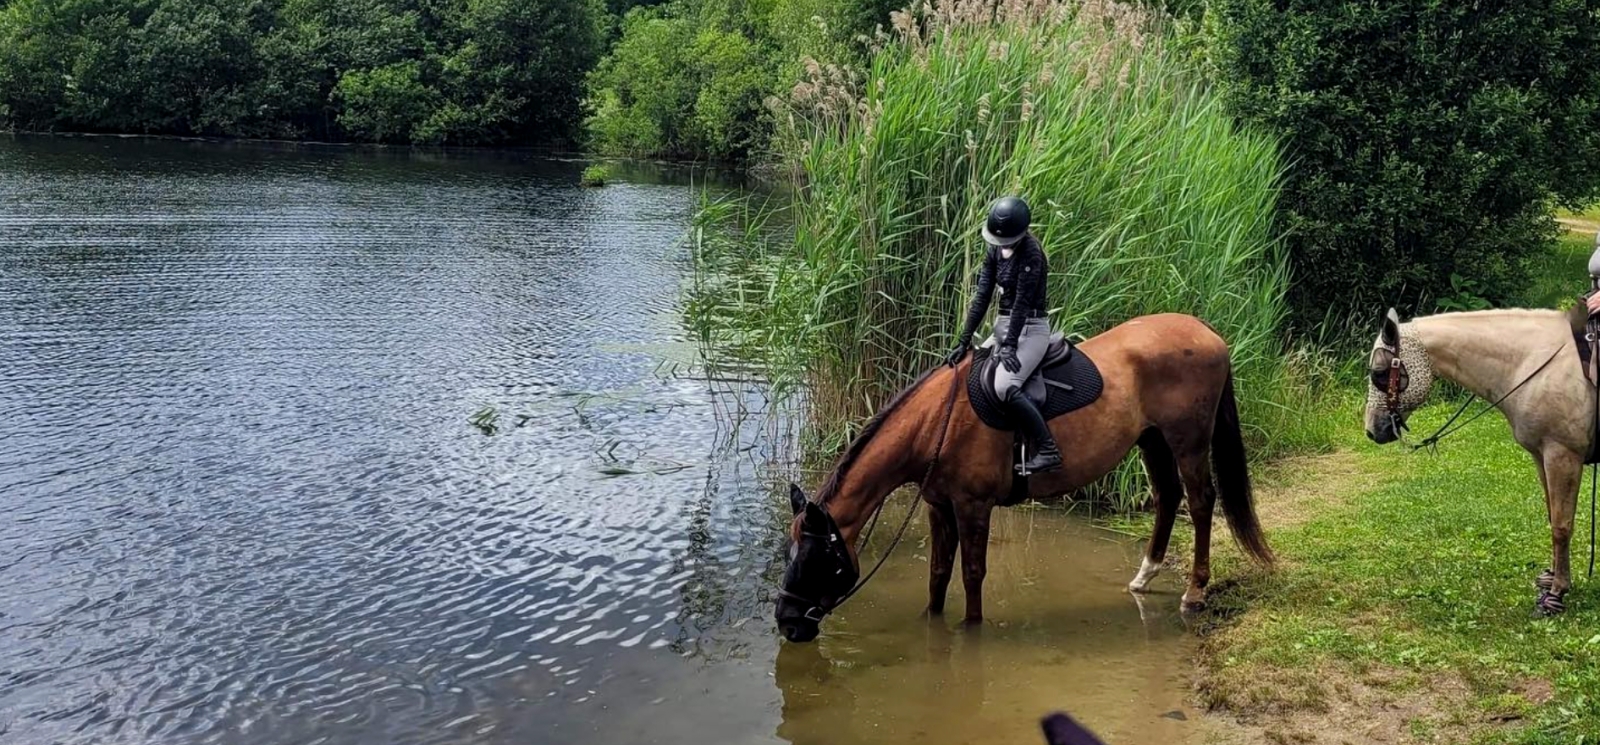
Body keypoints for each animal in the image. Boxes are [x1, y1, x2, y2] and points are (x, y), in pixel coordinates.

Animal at [774, 311, 1273, 642]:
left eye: (817, 557)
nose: (787, 623)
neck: (936, 424)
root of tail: (1207, 333)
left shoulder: (973, 507)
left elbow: (972, 574)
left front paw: (970, 631)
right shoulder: (939, 506)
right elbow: (938, 574)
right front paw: (930, 624)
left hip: (1187, 440)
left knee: (1202, 501)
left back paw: (1194, 592)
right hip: (1151, 440)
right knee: (1167, 496)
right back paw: (1144, 577)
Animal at [1363, 305, 1587, 613]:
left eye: (1379, 373)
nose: (1372, 429)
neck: (1534, 363)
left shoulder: (1562, 455)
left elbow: (1561, 527)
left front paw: (1556, 594)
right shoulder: (1542, 456)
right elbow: (1552, 514)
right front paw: (1552, 578)